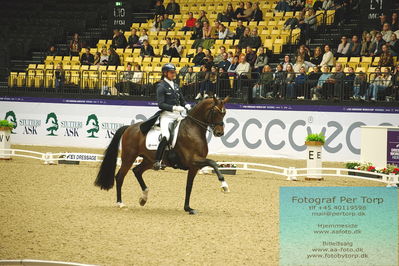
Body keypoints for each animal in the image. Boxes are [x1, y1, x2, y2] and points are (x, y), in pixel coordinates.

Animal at [94, 95, 231, 214]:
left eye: (224, 113)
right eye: (215, 112)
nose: (219, 133)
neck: (193, 129)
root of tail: (129, 127)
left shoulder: (194, 166)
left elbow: (189, 186)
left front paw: (188, 208)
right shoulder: (192, 160)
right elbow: (213, 162)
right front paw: (224, 186)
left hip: (149, 160)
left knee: (137, 171)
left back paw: (143, 198)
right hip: (129, 157)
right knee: (120, 176)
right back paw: (120, 203)